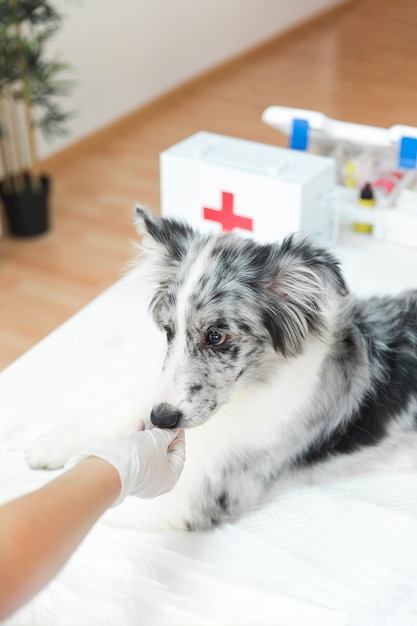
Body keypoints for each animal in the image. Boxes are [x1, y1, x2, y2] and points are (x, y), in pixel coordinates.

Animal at [26, 207, 416, 528]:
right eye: (168, 331)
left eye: (216, 336)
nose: (162, 419)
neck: (252, 390)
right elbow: (126, 404)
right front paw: (55, 442)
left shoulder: (214, 488)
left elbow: (112, 506)